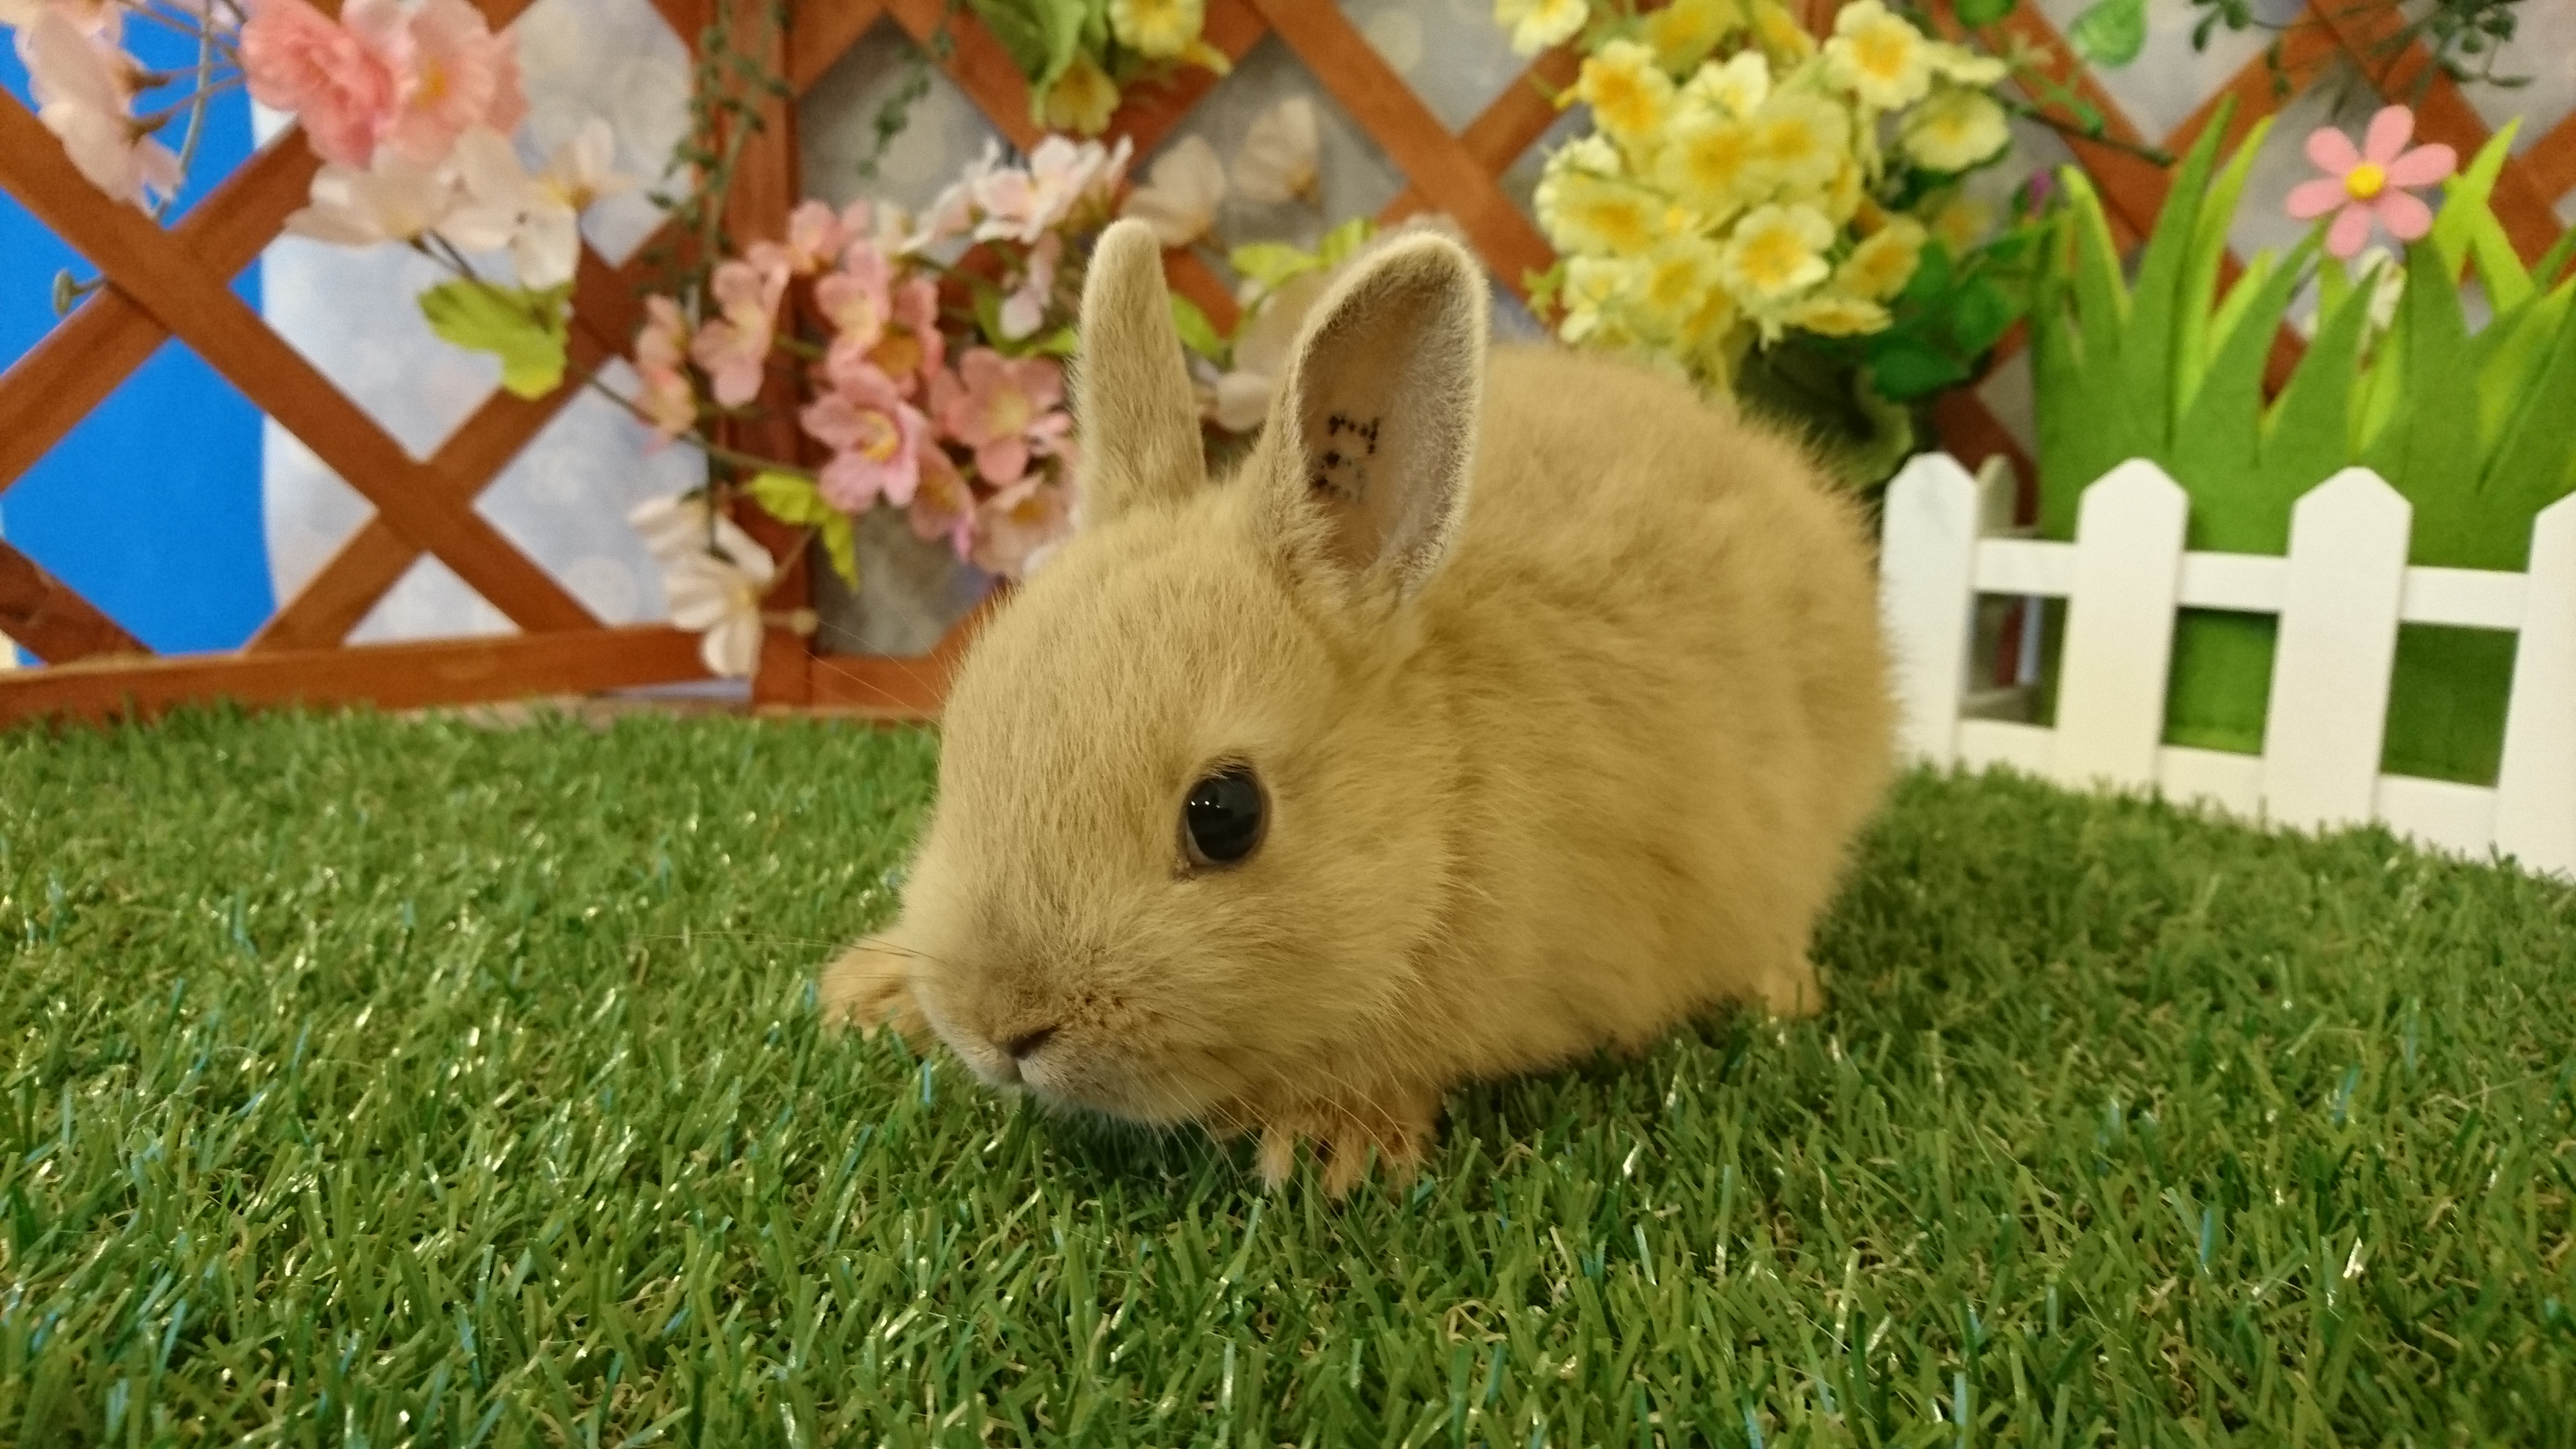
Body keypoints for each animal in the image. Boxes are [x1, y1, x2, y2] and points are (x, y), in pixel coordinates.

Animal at [820, 217, 1894, 1196]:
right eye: (961, 747)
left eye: (1225, 815)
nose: (1000, 1027)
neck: (1437, 818)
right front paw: (867, 992)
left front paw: (1332, 1143)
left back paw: (1783, 989)